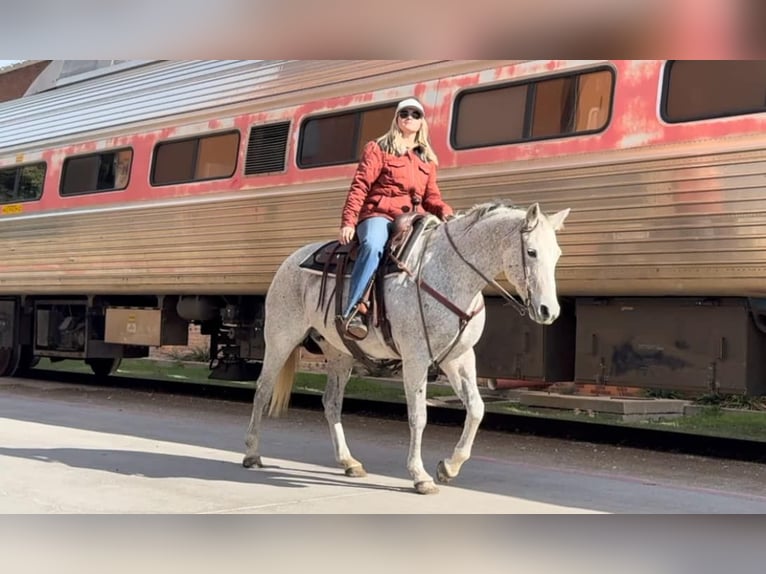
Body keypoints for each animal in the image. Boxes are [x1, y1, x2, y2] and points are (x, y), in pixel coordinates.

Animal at [244, 202, 568, 496]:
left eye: (557, 254)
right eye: (531, 252)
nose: (549, 311)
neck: (451, 275)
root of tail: (291, 259)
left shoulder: (458, 358)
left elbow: (476, 409)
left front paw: (449, 467)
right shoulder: (416, 359)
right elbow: (418, 416)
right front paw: (420, 475)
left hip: (340, 353)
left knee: (331, 402)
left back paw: (348, 462)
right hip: (280, 339)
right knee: (262, 391)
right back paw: (251, 453)